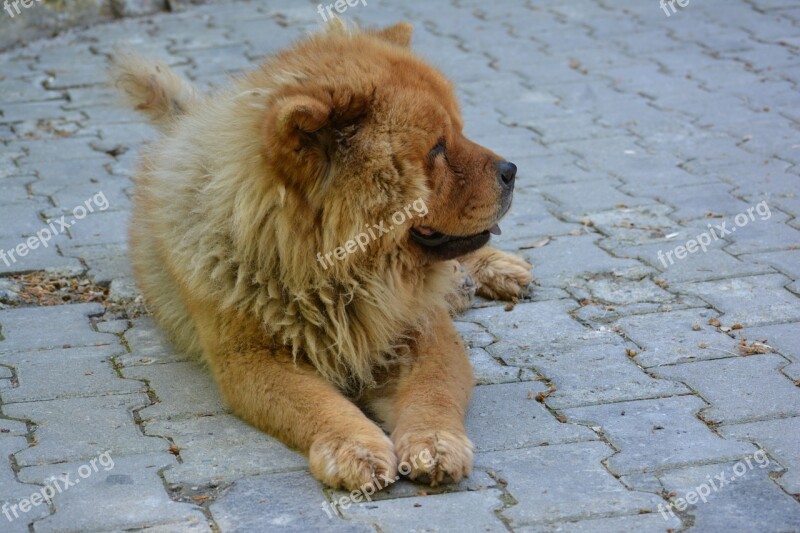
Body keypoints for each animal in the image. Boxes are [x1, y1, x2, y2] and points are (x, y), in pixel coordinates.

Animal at [111, 21, 532, 490]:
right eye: (437, 149)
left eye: (459, 131)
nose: (512, 170)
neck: (341, 274)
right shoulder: (252, 359)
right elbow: (320, 407)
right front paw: (357, 451)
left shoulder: (423, 332)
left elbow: (433, 392)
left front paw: (435, 444)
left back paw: (494, 271)